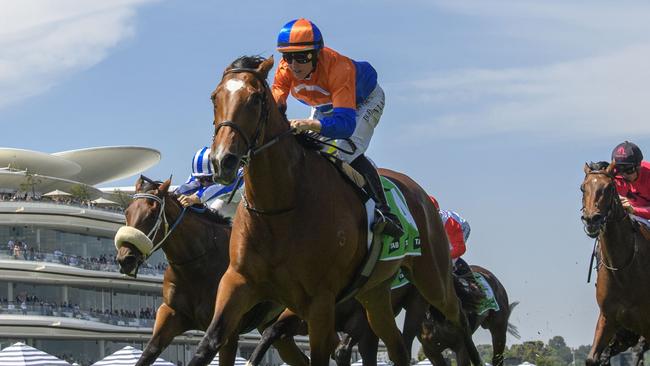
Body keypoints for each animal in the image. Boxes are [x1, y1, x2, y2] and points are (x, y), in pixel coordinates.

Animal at [115, 177, 308, 366]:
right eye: (127, 212)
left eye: (152, 214)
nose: (125, 259)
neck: (196, 265)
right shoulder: (171, 314)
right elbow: (148, 353)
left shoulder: (230, 331)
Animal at [185, 55, 478, 366]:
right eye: (215, 97)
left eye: (254, 98)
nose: (222, 161)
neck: (280, 207)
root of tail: (421, 194)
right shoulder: (239, 282)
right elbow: (208, 344)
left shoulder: (320, 301)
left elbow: (320, 353)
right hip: (374, 292)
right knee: (397, 344)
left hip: (433, 279)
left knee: (458, 316)